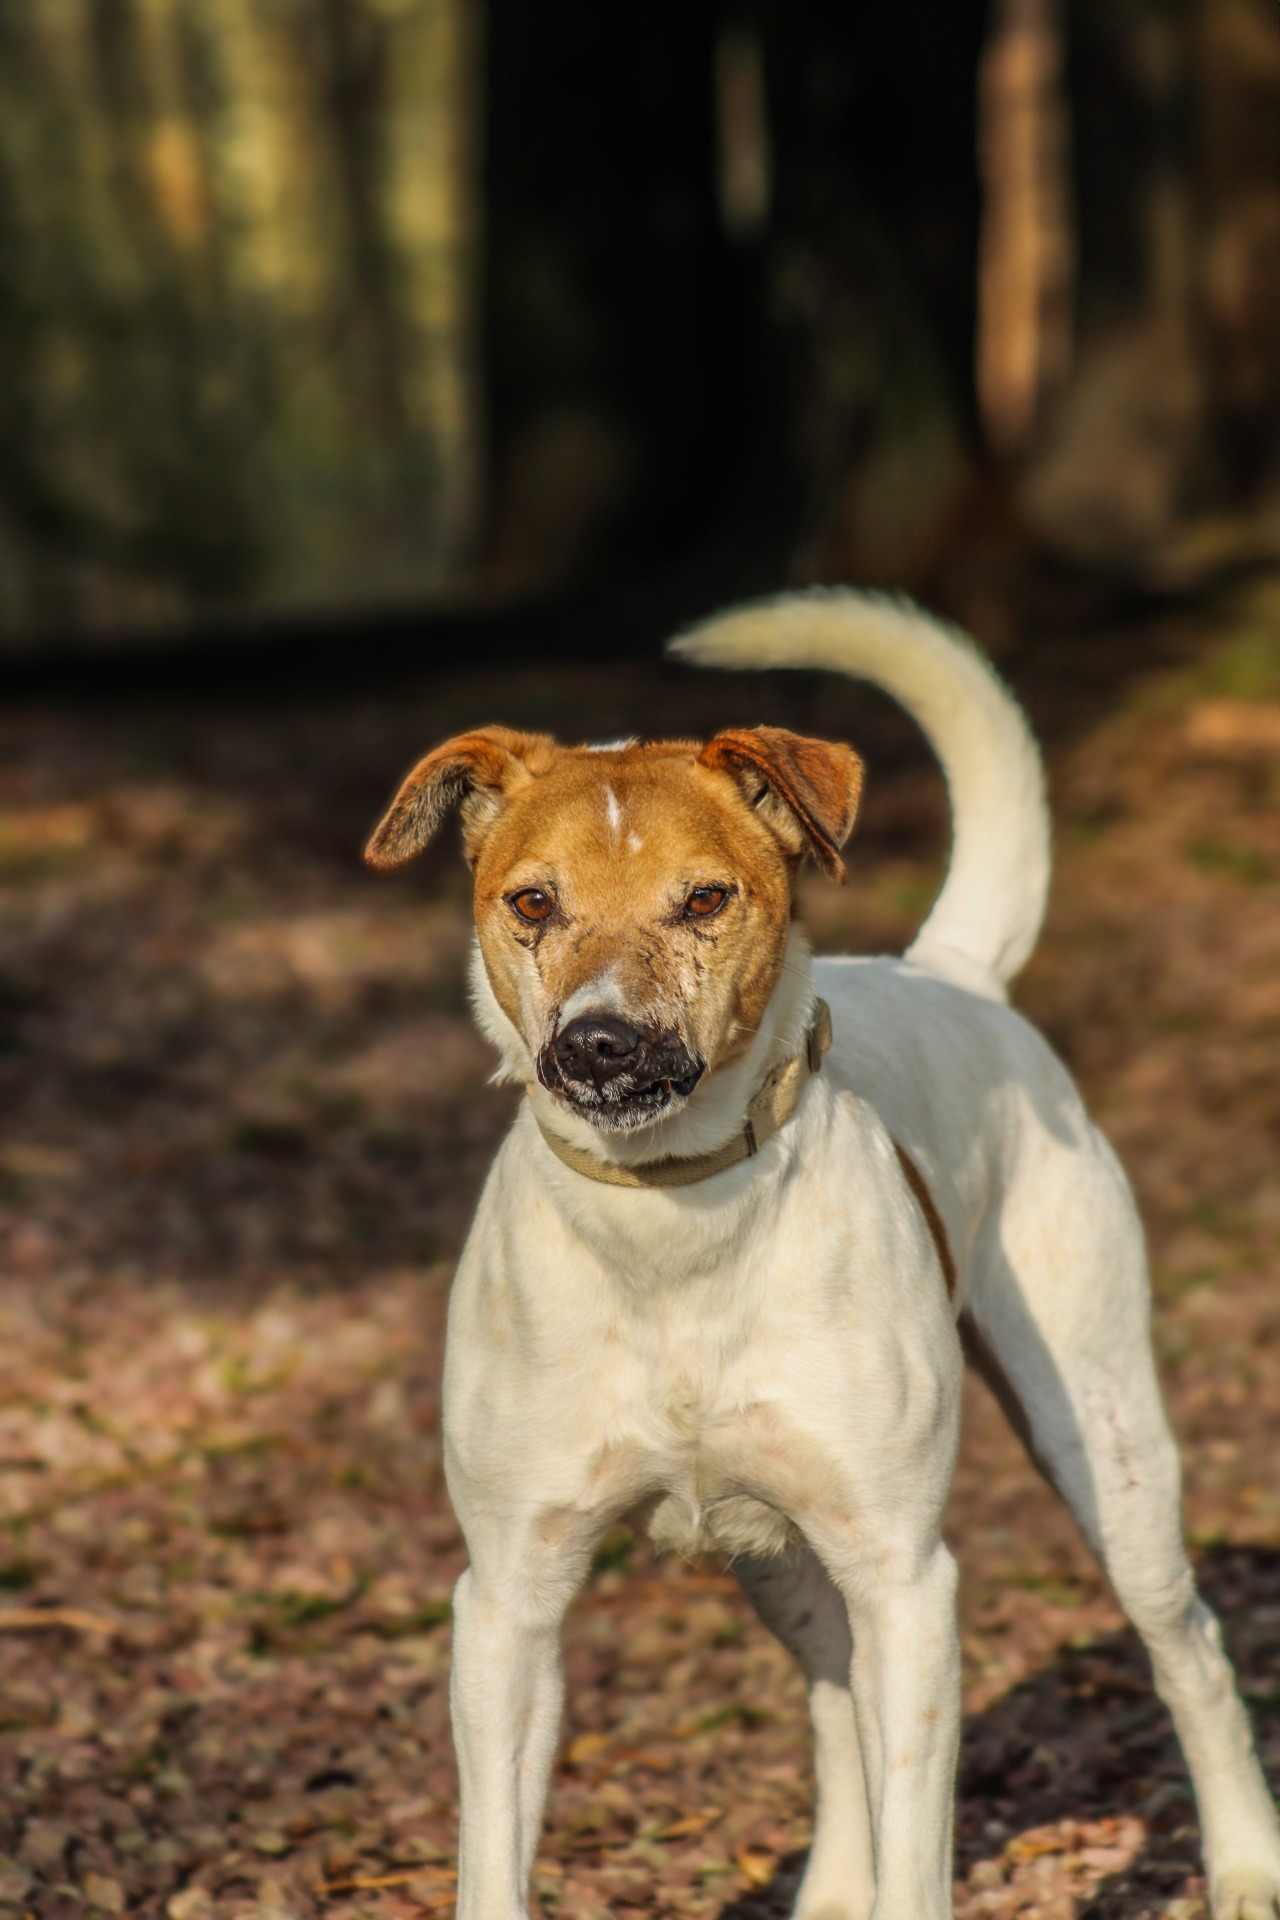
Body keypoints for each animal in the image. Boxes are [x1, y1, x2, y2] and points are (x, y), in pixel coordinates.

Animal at [362, 595, 1280, 1920]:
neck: (673, 1220)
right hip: (775, 1561)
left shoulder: (904, 1581)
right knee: (833, 1698)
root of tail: (946, 969)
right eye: (530, 903)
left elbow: (919, 1846)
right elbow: (494, 1860)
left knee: (1189, 1649)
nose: (597, 1045)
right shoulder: (507, 1601)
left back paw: (1244, 1862)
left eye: (704, 899)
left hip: (1106, 1454)